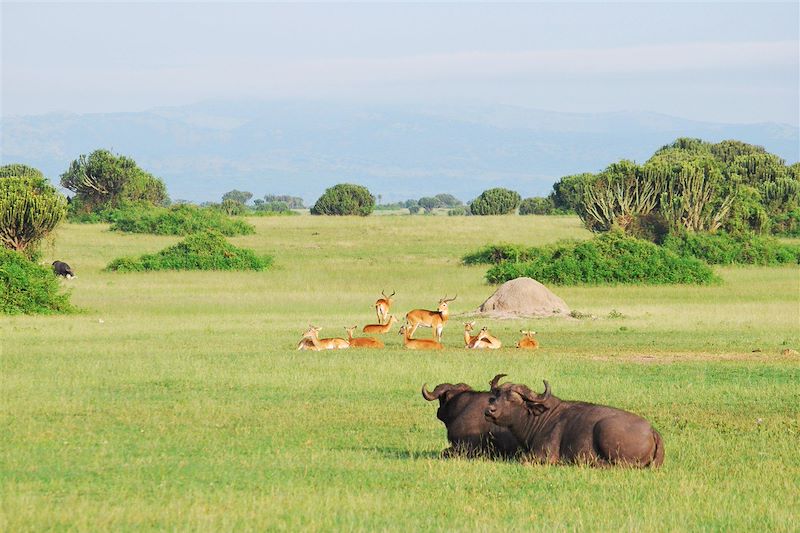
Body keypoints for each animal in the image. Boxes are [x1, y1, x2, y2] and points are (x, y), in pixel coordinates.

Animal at [484, 374, 664, 466]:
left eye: (512, 399)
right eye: (497, 395)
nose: (489, 410)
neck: (541, 416)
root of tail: (652, 431)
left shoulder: (544, 454)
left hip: (604, 428)